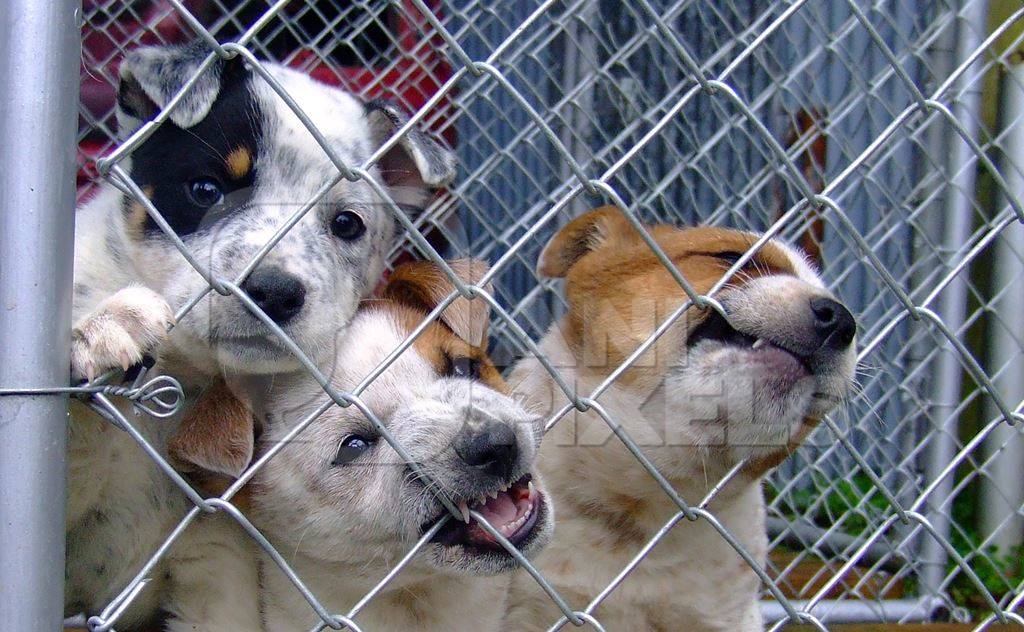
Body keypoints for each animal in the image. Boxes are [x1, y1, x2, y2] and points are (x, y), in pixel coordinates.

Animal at [66, 41, 454, 626]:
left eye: (347, 224)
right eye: (205, 190)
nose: (272, 292)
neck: (185, 381)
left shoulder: (215, 551)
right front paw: (104, 324)